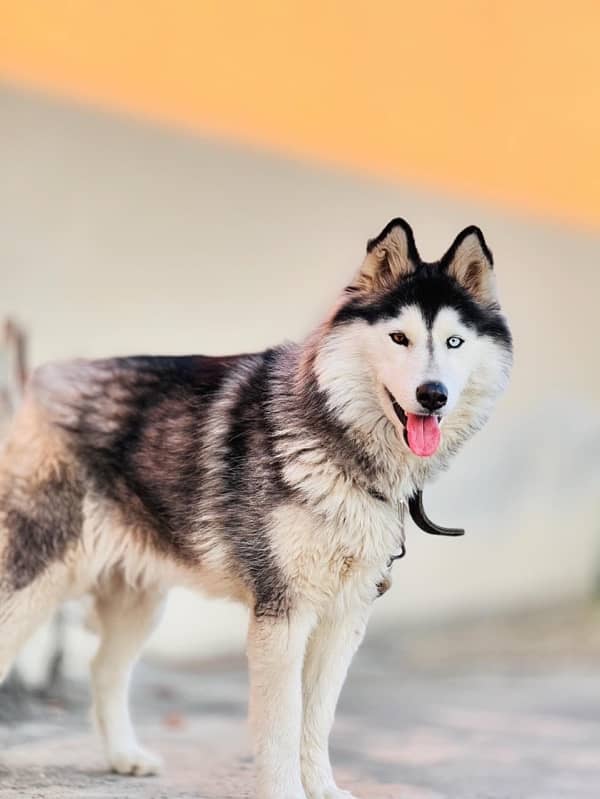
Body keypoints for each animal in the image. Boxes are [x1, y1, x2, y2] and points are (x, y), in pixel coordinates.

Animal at [1, 220, 516, 799]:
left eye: (454, 341)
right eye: (399, 338)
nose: (433, 395)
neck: (337, 438)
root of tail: (44, 378)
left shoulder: (344, 616)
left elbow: (317, 719)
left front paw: (324, 789)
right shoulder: (283, 615)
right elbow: (282, 724)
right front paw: (287, 791)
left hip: (140, 601)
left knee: (105, 671)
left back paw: (124, 757)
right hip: (33, 581)